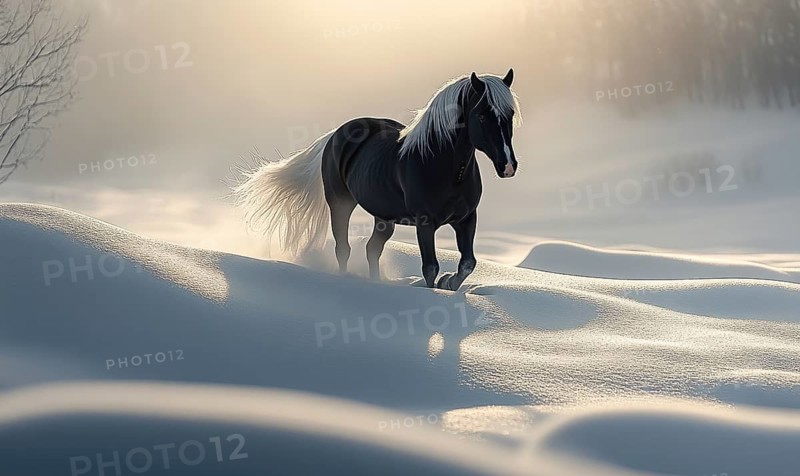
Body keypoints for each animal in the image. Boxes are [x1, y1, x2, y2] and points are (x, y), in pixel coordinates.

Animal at [234, 69, 521, 290]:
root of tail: (335, 135)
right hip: (340, 204)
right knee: (343, 248)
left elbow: (468, 263)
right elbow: (430, 267)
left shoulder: (466, 219)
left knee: (372, 248)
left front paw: (449, 283)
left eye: (509, 115)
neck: (440, 164)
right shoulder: (425, 223)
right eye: (482, 115)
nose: (508, 166)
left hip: (383, 217)